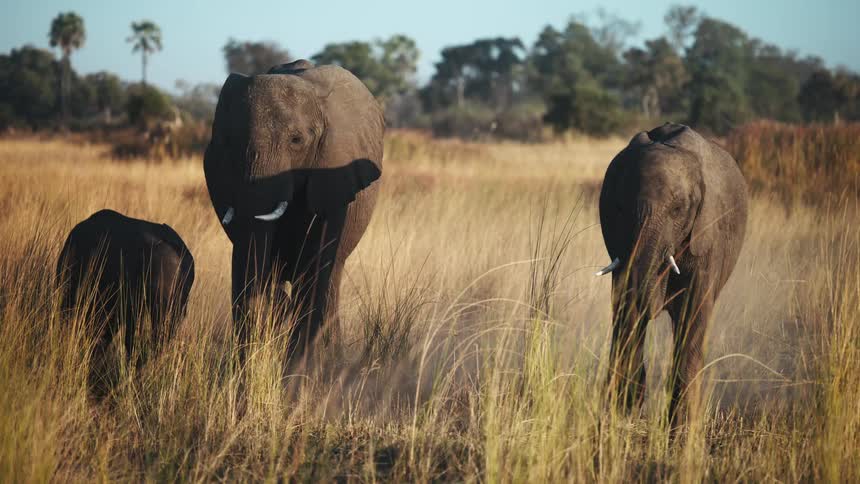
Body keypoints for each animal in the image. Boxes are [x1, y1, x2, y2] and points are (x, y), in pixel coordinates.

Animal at [203, 59, 384, 363]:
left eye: (296, 140)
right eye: (229, 142)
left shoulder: (334, 172)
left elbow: (316, 265)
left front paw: (296, 367)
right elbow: (245, 260)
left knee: (330, 277)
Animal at [596, 123, 748, 426]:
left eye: (678, 210)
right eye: (619, 208)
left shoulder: (708, 234)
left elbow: (693, 314)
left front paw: (681, 425)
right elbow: (626, 308)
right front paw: (626, 407)